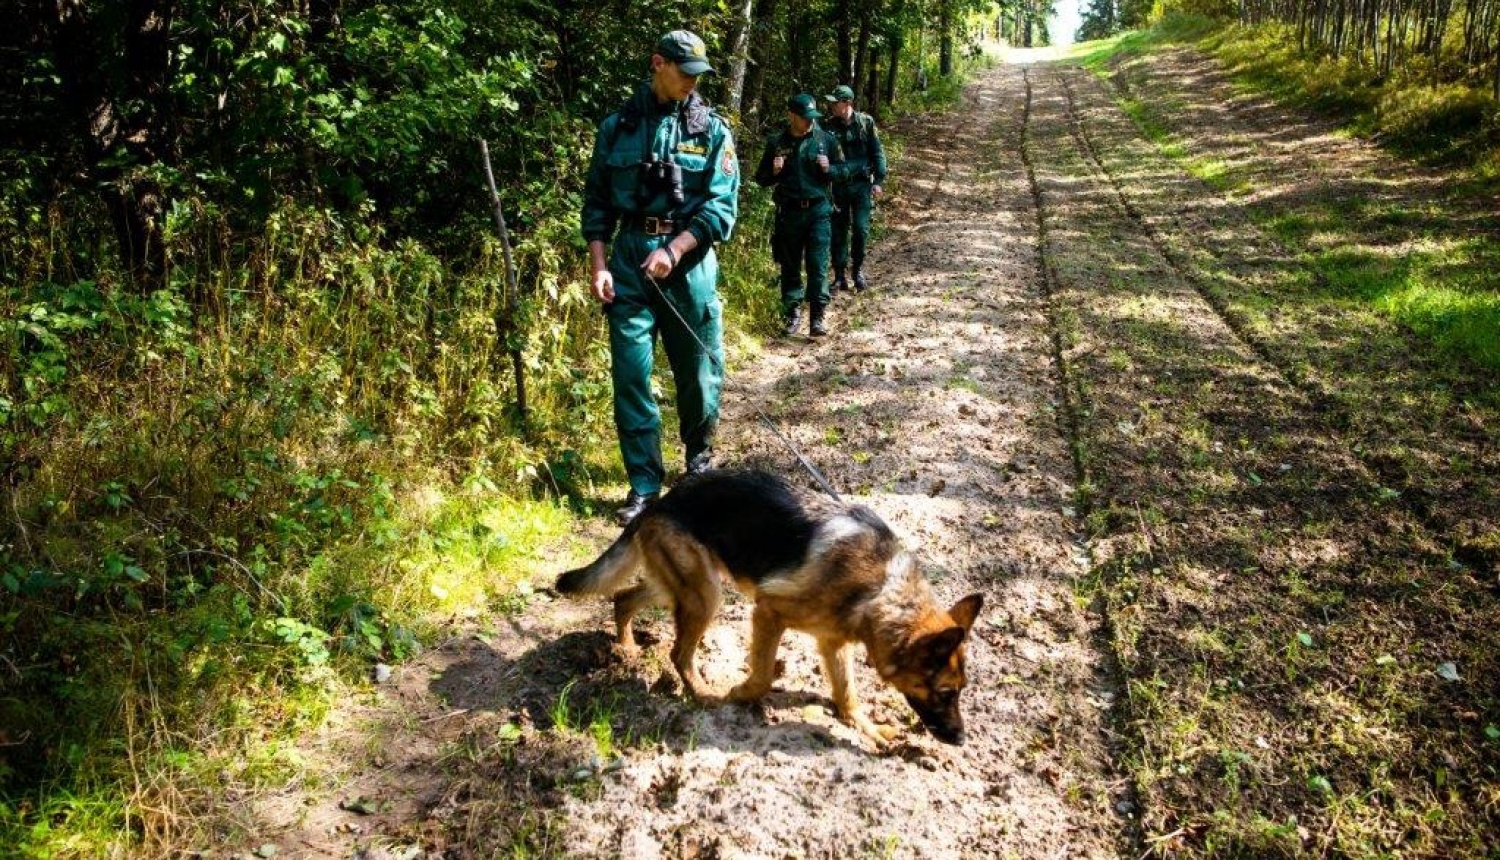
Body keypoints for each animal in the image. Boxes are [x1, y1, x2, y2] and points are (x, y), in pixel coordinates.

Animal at [552, 465, 984, 741]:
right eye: (946, 693)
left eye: (960, 691)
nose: (962, 740)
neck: (881, 591)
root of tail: (660, 502)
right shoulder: (768, 611)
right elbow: (761, 677)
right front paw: (739, 694)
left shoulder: (833, 643)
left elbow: (847, 693)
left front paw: (864, 727)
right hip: (705, 595)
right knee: (678, 653)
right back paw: (703, 692)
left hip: (683, 587)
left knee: (623, 598)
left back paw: (624, 648)